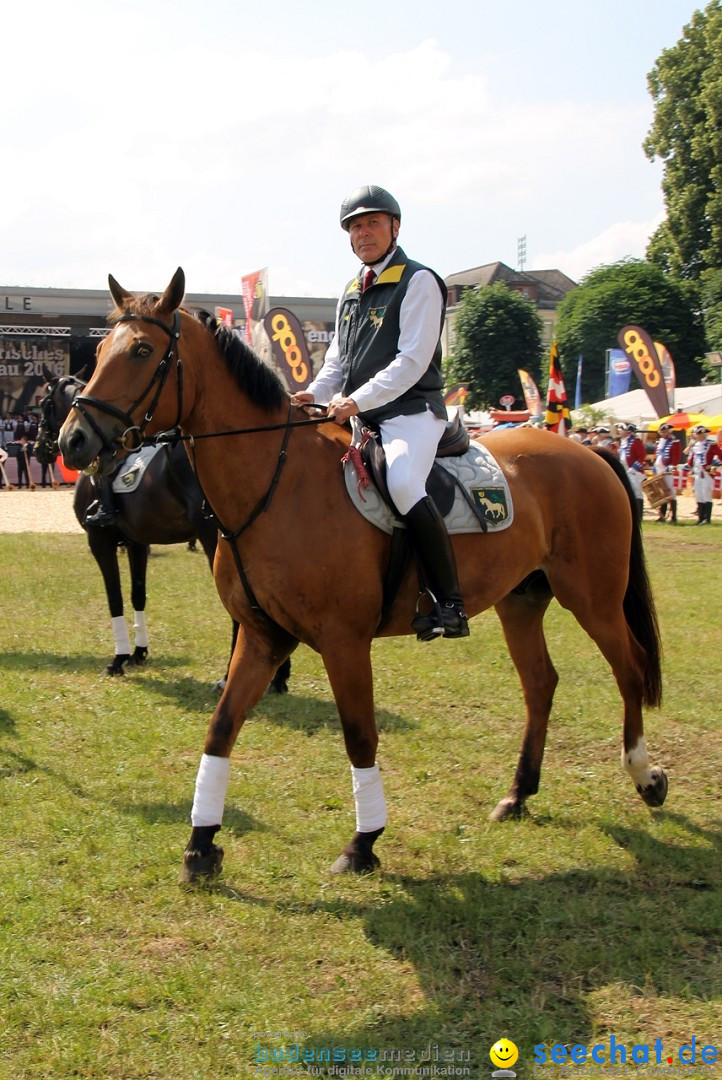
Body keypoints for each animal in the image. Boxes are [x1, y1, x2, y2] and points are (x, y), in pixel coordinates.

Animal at [35, 371, 289, 691]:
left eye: (43, 403)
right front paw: (138, 652)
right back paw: (276, 676)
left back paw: (230, 676)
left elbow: (115, 597)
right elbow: (138, 594)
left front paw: (118, 660)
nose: (39, 449)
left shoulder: (100, 543)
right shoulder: (136, 544)